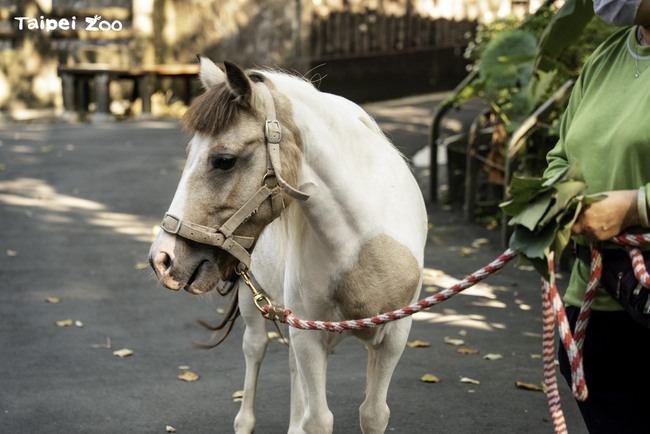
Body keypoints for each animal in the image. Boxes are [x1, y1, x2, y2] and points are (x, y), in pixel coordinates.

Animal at [149, 58, 428, 434]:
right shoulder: (309, 336)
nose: (162, 259)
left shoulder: (394, 336)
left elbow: (373, 414)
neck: (364, 248)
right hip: (252, 299)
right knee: (255, 349)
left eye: (224, 160)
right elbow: (319, 420)